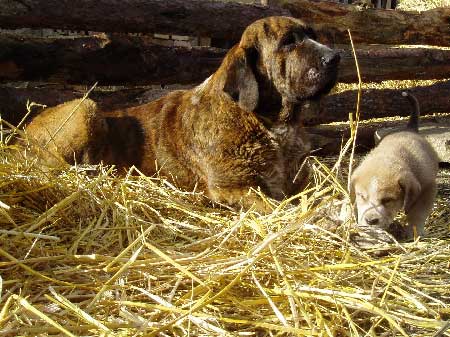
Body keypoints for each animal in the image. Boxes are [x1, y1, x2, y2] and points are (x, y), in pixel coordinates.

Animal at [24, 17, 340, 210]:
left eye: (312, 36)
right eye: (289, 41)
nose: (336, 56)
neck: (267, 123)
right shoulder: (235, 187)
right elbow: (280, 206)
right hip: (84, 107)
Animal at [352, 91, 440, 239]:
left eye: (387, 200)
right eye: (362, 196)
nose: (370, 221)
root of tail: (410, 129)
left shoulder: (428, 188)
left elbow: (418, 212)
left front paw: (413, 231)